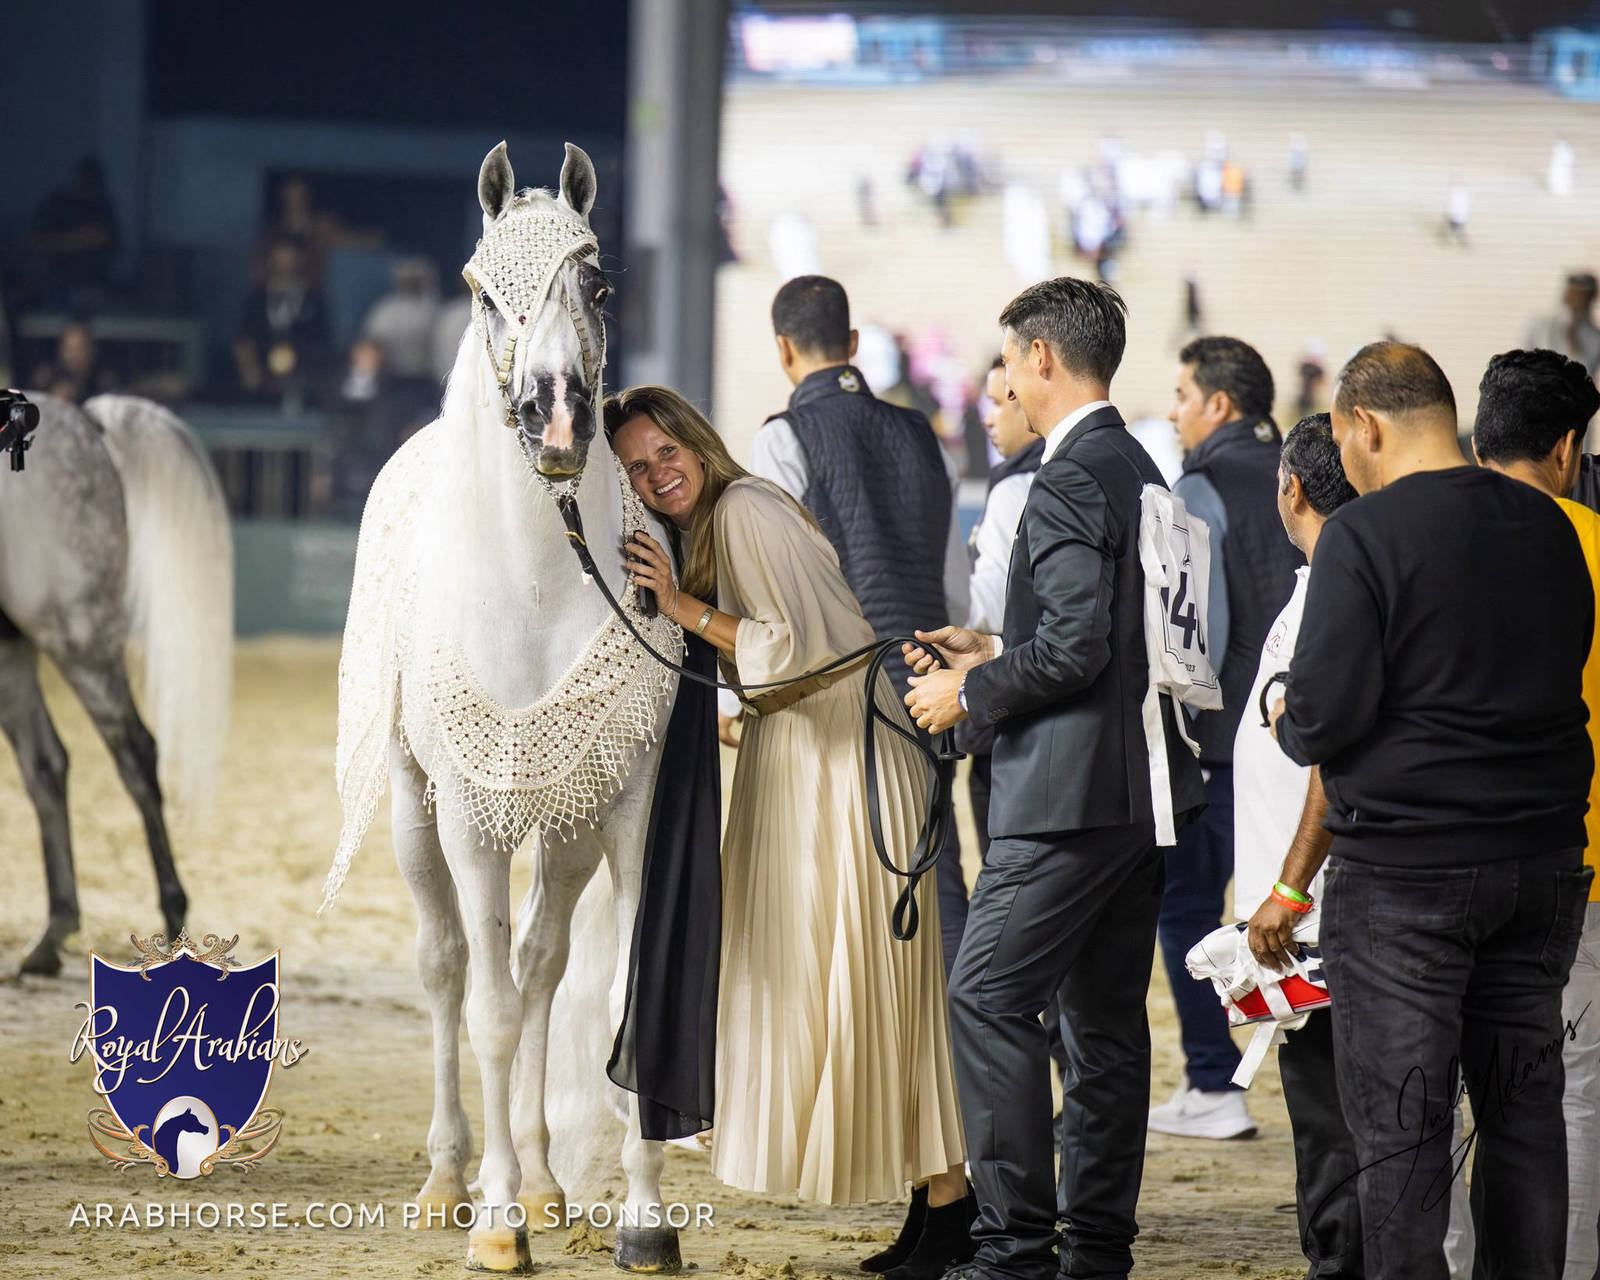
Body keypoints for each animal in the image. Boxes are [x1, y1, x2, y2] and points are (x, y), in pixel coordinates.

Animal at [0, 393, 233, 976]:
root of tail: (85, 421)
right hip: (13, 648)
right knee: (45, 764)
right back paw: (50, 935)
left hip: (78, 635)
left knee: (135, 755)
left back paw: (173, 921)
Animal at [325, 141, 684, 1274]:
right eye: (484, 290)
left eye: (599, 285)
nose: (556, 413)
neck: (534, 583)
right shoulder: (474, 823)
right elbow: (483, 1008)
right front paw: (495, 1226)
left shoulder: (629, 806)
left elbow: (604, 998)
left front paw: (643, 1218)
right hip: (413, 810)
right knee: (449, 971)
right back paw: (453, 1178)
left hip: (566, 832)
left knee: (539, 966)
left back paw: (540, 1177)